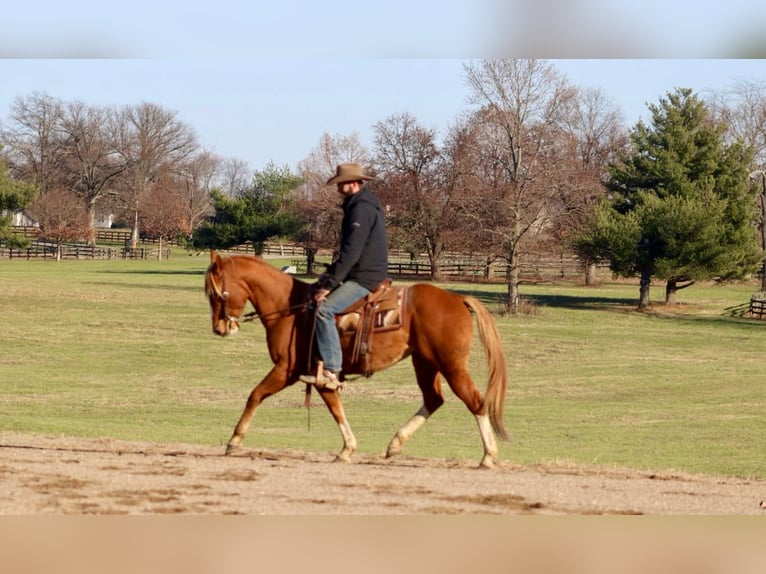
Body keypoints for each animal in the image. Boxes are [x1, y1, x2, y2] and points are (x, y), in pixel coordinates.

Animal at [204, 250, 509, 468]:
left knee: (476, 401)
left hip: (451, 365)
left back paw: (488, 456)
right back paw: (395, 444)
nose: (219, 329)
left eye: (215, 294)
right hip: (425, 363)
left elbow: (255, 395)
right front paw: (347, 449)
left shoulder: (286, 370)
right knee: (433, 399)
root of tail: (457, 298)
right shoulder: (320, 375)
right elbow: (336, 408)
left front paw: (234, 441)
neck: (292, 309)